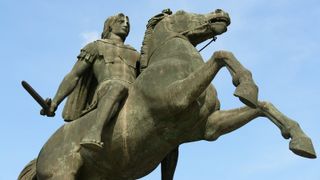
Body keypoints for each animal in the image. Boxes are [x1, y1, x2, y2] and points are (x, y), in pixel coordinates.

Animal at [19, 8, 316, 180]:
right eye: (182, 11)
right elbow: (221, 55)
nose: (220, 11)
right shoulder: (176, 99)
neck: (171, 64)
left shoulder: (208, 127)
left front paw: (300, 140)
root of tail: (42, 153)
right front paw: (245, 86)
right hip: (62, 174)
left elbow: (261, 106)